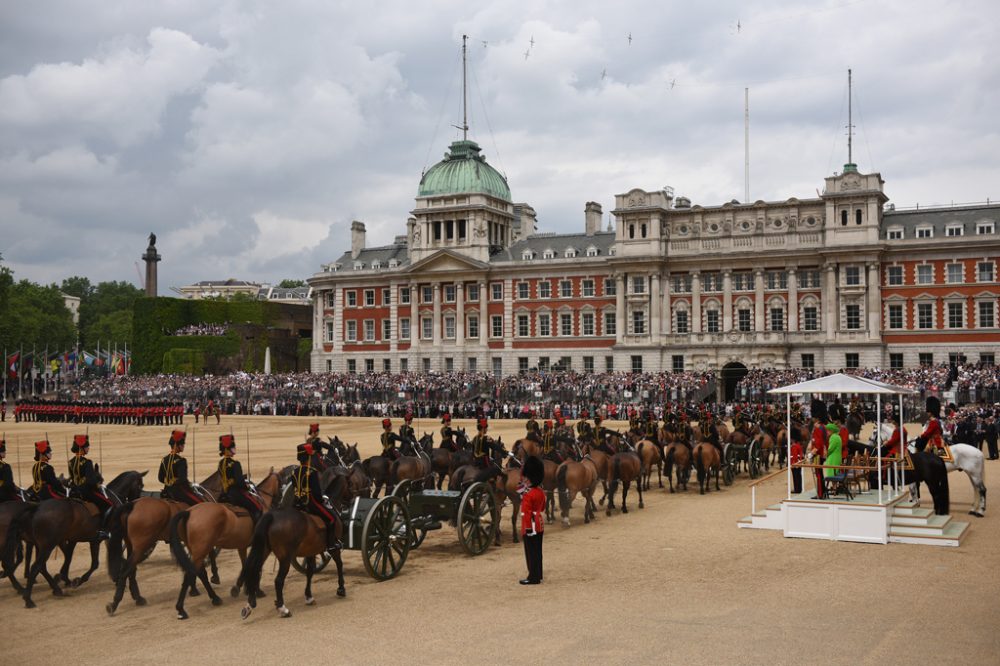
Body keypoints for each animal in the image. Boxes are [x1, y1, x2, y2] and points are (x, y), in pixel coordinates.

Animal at [18, 466, 145, 608]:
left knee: (41, 566)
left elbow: (80, 559)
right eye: (140, 485)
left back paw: (53, 588)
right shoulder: (101, 539)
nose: (136, 501)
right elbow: (93, 563)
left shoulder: (88, 540)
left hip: (42, 545)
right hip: (47, 546)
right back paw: (29, 598)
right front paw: (74, 580)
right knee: (36, 566)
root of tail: (37, 508)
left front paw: (66, 577)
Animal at [106, 470, 227, 616]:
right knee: (126, 569)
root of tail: (132, 505)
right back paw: (115, 603)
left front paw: (194, 588)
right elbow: (205, 560)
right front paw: (212, 581)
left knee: (130, 569)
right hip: (141, 546)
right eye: (139, 484)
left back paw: (137, 598)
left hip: (132, 546)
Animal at [166, 472, 280, 616]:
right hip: (201, 550)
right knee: (190, 574)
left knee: (200, 572)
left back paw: (214, 597)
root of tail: (189, 512)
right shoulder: (260, 547)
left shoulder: (242, 546)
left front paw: (240, 588)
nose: (278, 503)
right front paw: (256, 591)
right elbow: (255, 567)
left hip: (197, 551)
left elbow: (246, 565)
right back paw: (181, 608)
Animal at [240, 472, 350, 616]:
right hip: (285, 558)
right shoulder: (333, 548)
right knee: (278, 580)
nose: (350, 501)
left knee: (254, 571)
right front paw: (341, 589)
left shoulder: (311, 551)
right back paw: (283, 608)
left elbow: (310, 572)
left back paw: (249, 605)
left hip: (263, 551)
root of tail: (272, 516)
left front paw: (309, 596)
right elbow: (339, 564)